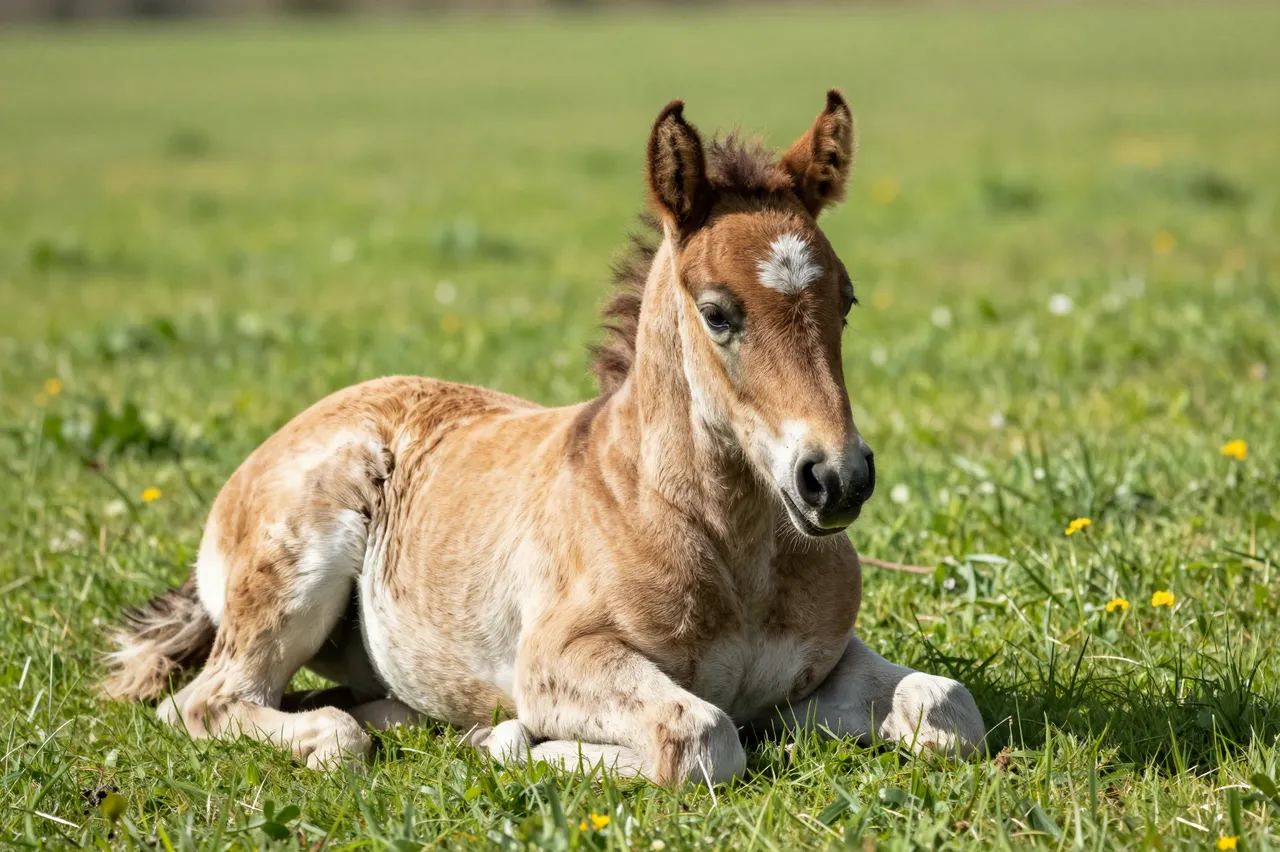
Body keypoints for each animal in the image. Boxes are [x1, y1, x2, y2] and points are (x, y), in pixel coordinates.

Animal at [101, 91, 985, 784]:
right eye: (717, 311)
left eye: (847, 300)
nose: (835, 479)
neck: (727, 548)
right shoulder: (560, 660)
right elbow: (701, 736)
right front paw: (520, 742)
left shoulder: (830, 654)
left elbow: (949, 708)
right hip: (291, 578)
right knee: (219, 706)